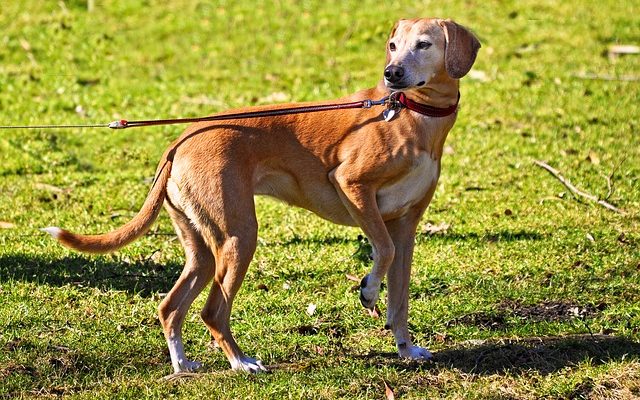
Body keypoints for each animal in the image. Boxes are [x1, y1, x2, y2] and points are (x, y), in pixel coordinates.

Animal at [42, 18, 478, 376]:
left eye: (423, 44)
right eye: (392, 45)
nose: (392, 74)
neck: (412, 115)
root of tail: (180, 141)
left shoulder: (406, 228)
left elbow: (399, 297)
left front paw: (405, 348)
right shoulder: (353, 186)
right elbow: (381, 253)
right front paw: (369, 289)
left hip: (204, 249)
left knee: (170, 308)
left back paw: (183, 366)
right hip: (239, 238)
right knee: (212, 312)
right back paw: (241, 362)